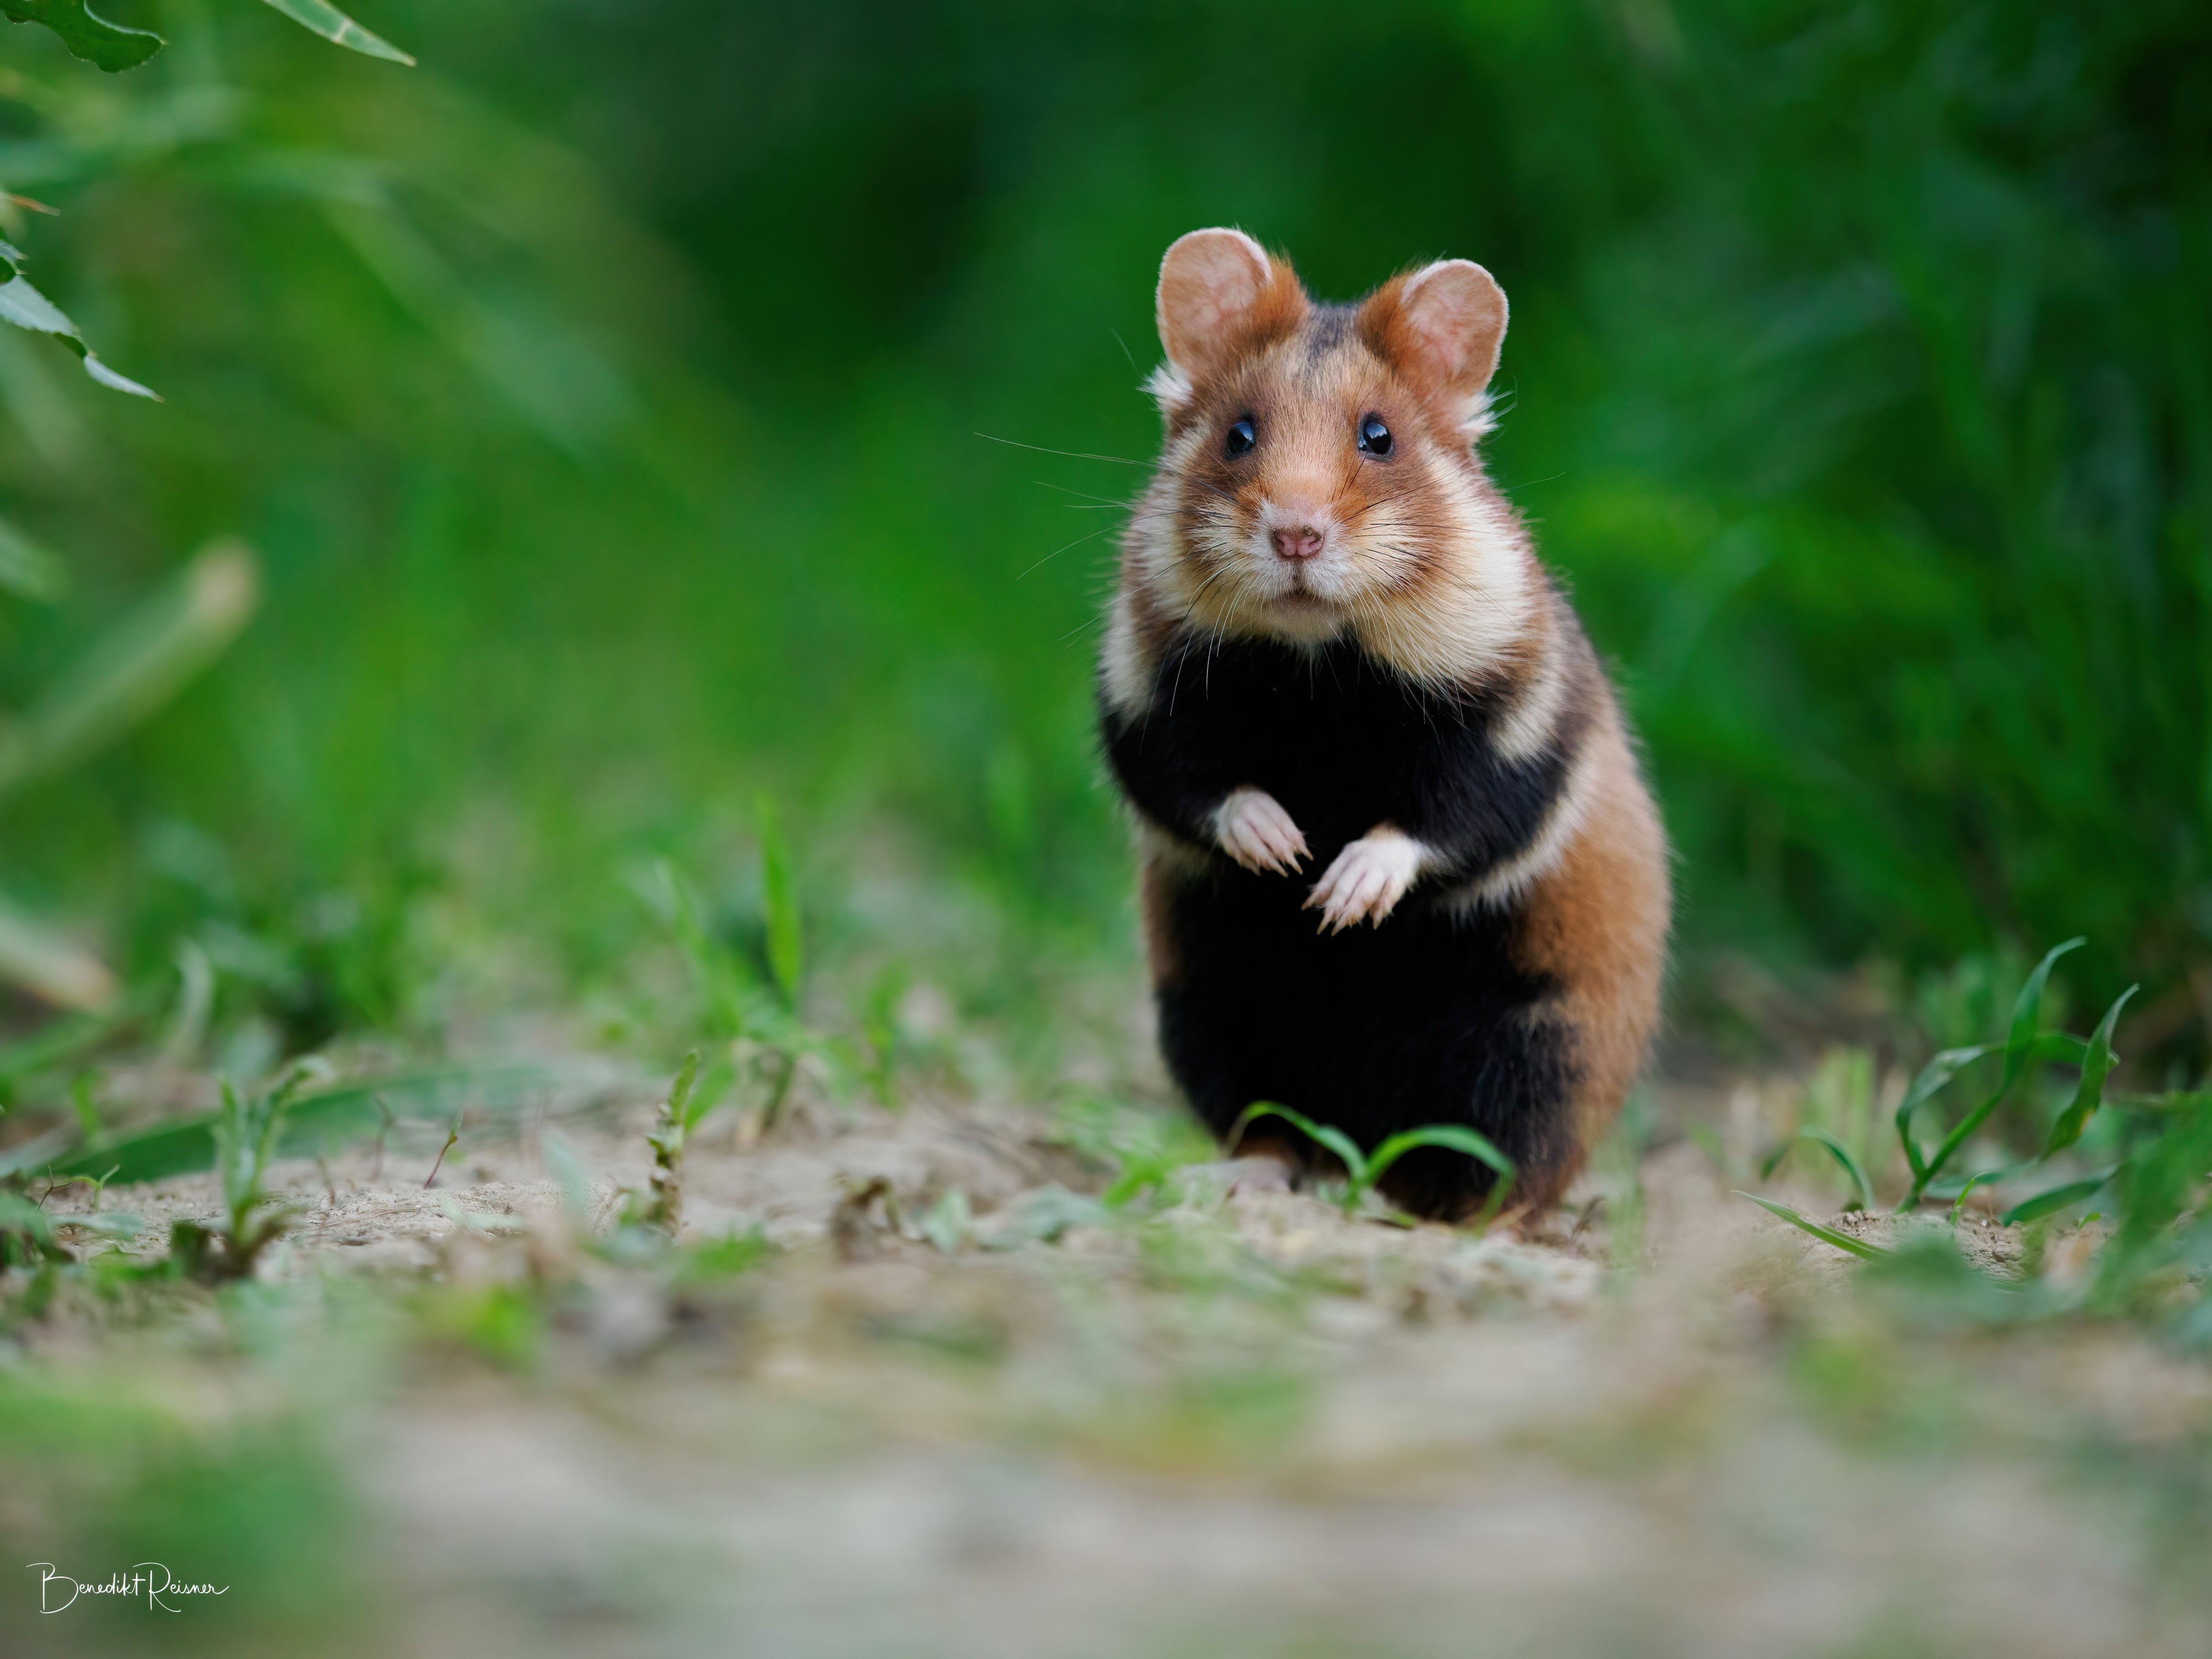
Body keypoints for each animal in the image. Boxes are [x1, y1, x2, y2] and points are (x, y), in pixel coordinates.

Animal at [1097, 228, 1670, 1219]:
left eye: (1380, 437)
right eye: (1238, 434)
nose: (1296, 536)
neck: (1317, 668)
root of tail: (1359, 1144)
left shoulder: (1516, 733)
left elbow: (1442, 822)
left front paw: (1337, 896)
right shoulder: (1142, 702)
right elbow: (1201, 785)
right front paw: (1284, 851)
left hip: (1540, 1044)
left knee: (1503, 1159)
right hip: (1212, 1015)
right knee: (1273, 1128)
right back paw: (1248, 1181)